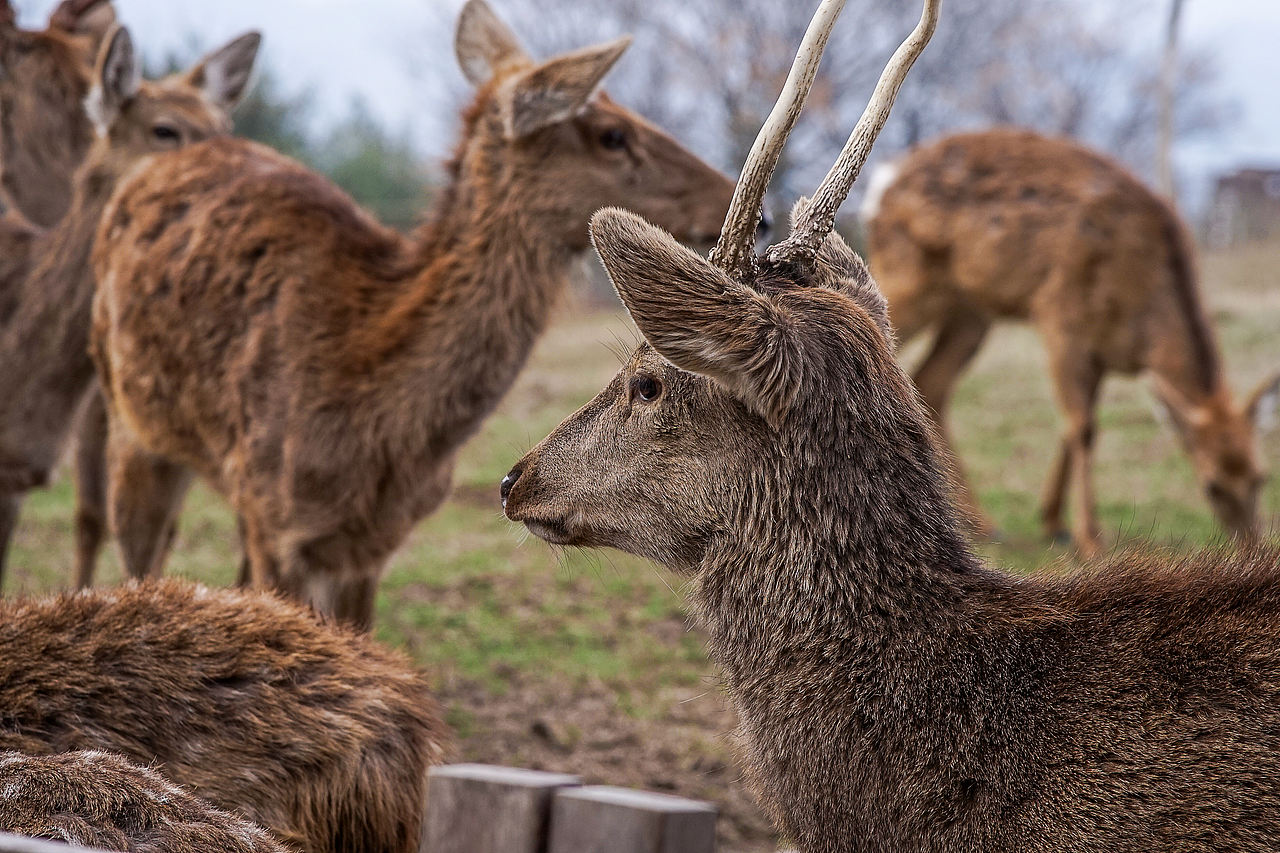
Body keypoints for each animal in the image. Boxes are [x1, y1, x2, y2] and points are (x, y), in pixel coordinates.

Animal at [861, 129, 1279, 557]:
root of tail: (884, 181)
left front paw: (1054, 522)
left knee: (932, 382)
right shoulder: (1060, 316)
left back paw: (981, 523)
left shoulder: (1101, 352)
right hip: (910, 277)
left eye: (1260, 476)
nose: (1254, 546)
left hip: (971, 309)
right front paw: (1090, 539)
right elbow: (1083, 428)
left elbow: (1074, 426)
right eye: (1212, 486)